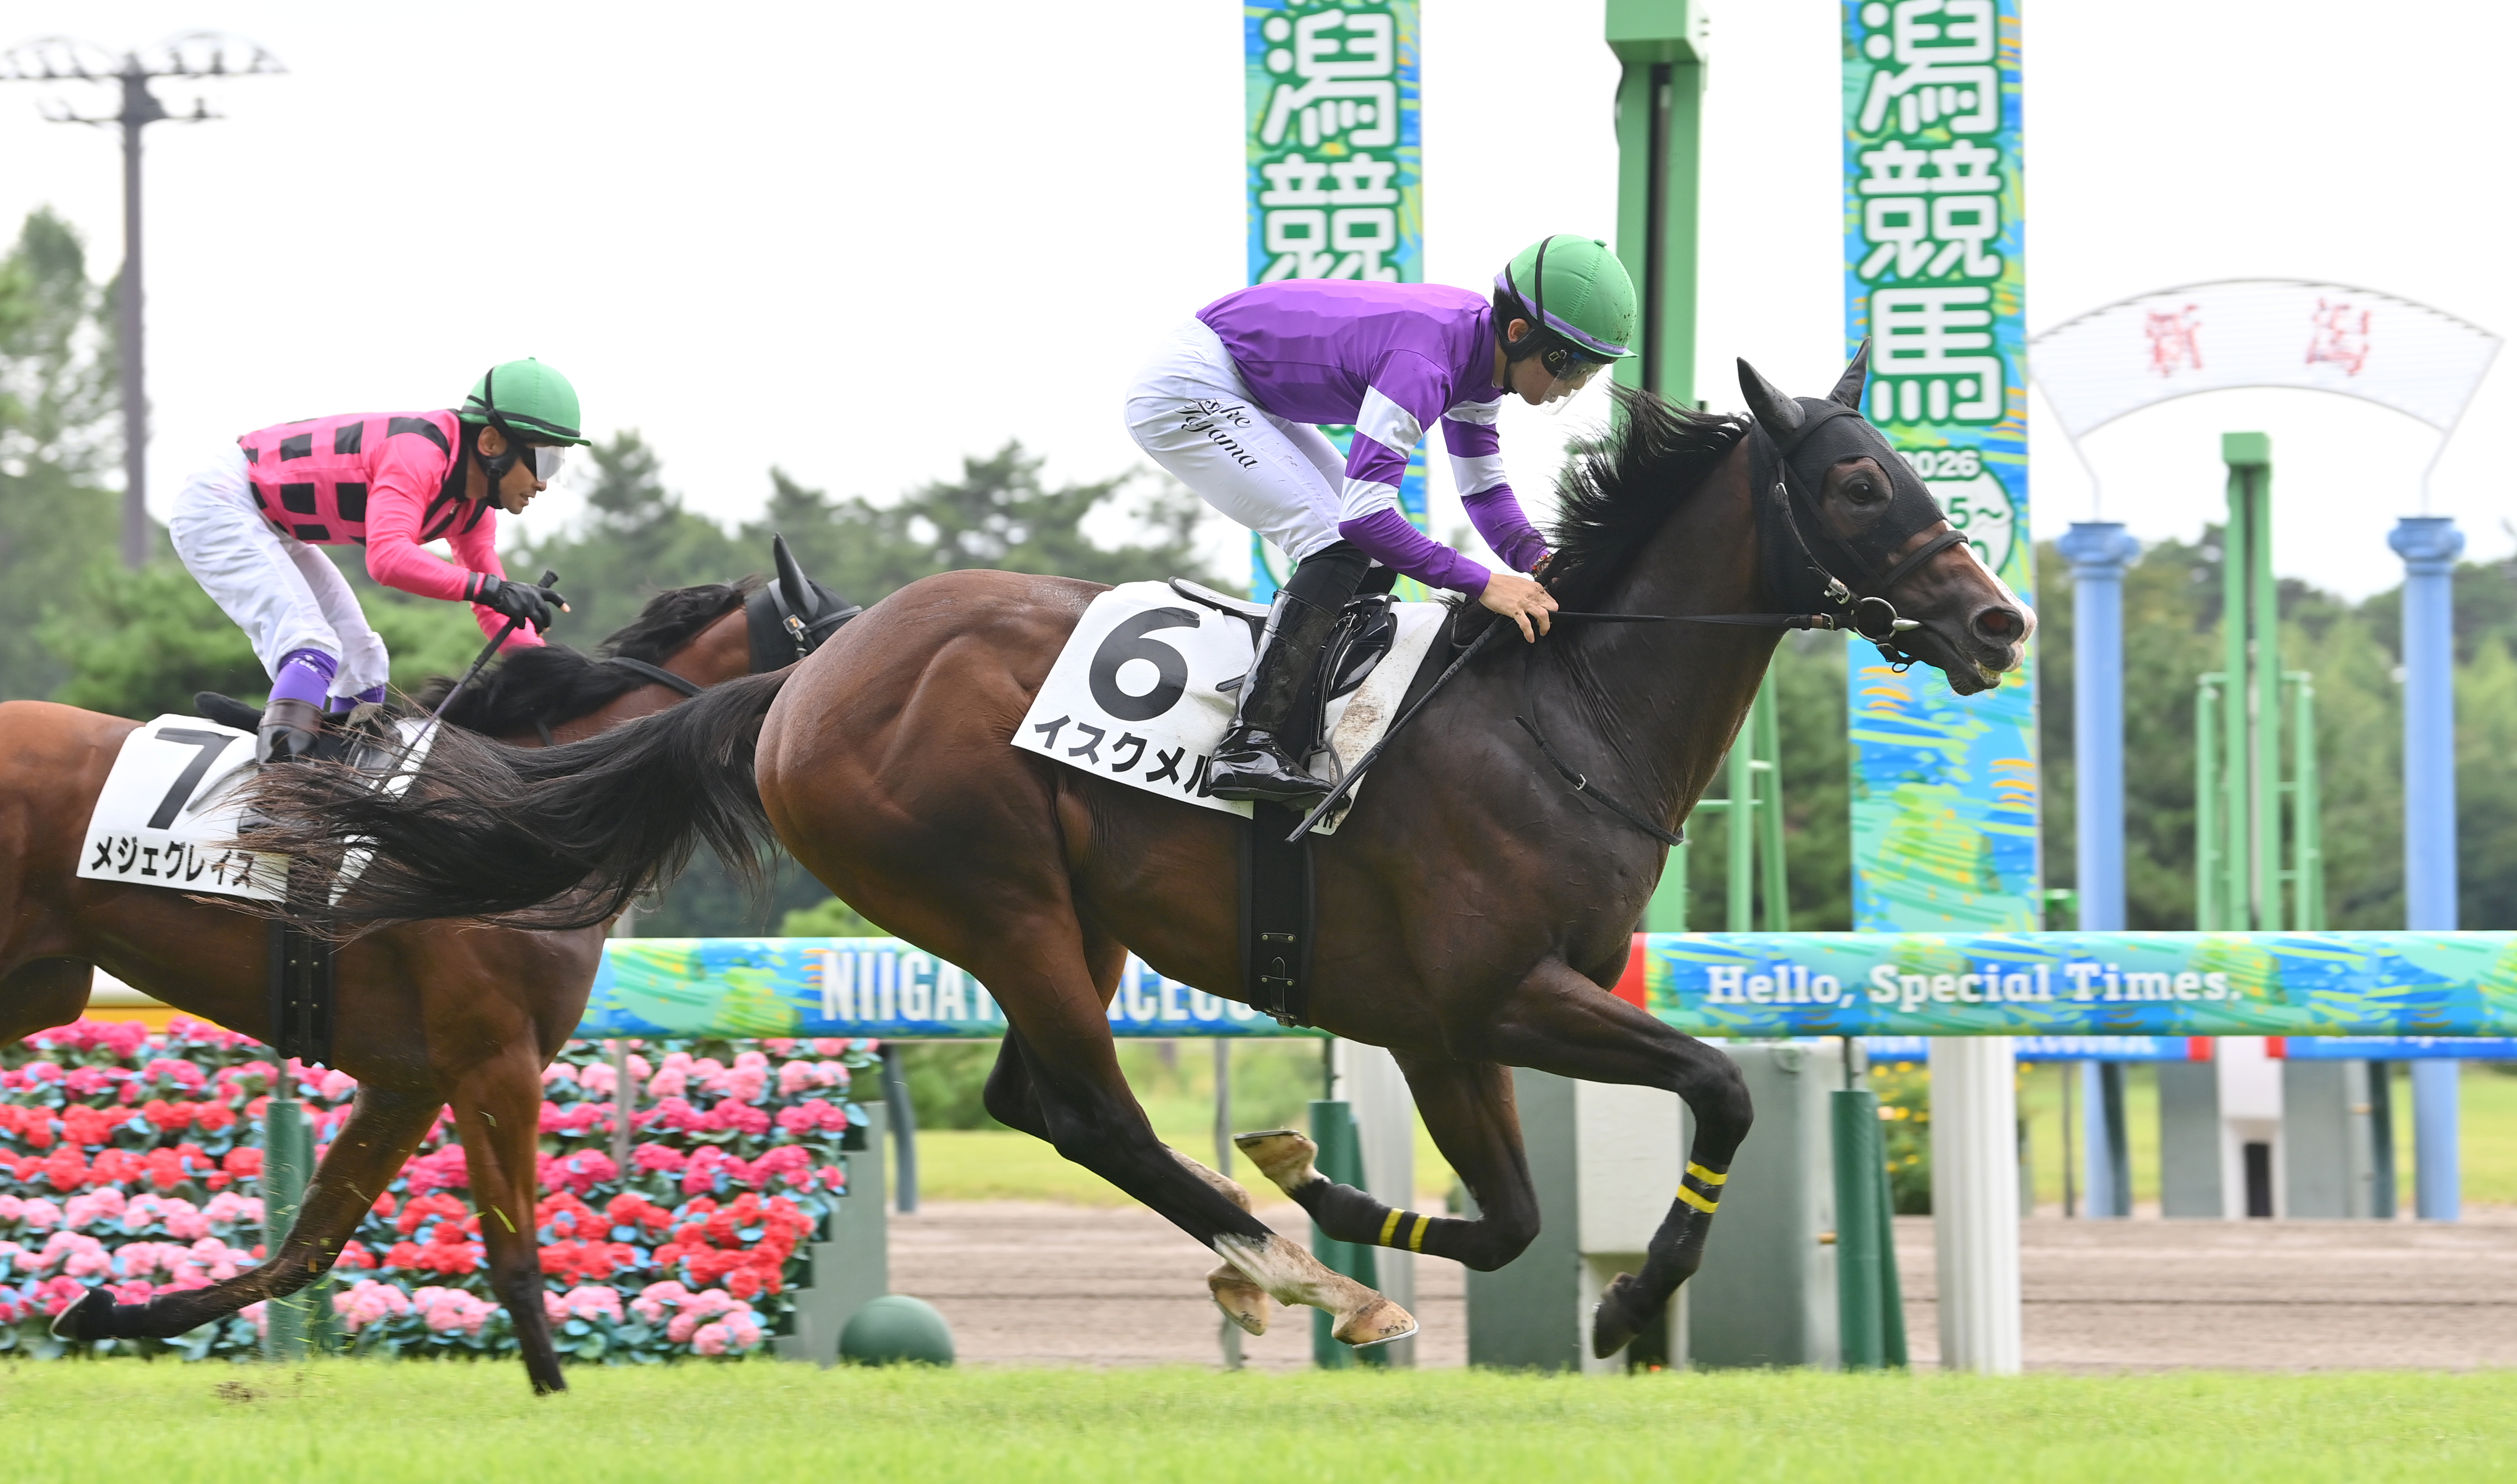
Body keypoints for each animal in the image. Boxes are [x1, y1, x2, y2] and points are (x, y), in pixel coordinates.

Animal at [19, 549, 845, 1392]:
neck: (525, 809)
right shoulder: (495, 1062)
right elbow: (514, 1256)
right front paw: (553, 1393)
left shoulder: (407, 1081)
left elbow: (305, 1251)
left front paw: (106, 1312)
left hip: (41, 986)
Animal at [234, 356, 2033, 1359]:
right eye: (1857, 481)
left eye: (1908, 467)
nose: (1998, 623)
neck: (1557, 718)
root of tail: (802, 679)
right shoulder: (1480, 1001)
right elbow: (1704, 1098)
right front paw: (1595, 1294)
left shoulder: (1463, 1023)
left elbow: (1525, 1213)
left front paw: (1343, 1198)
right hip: (1000, 896)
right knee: (1089, 1106)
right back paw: (1289, 1270)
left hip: (1064, 923)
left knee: (1042, 1100)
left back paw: (1281, 1262)